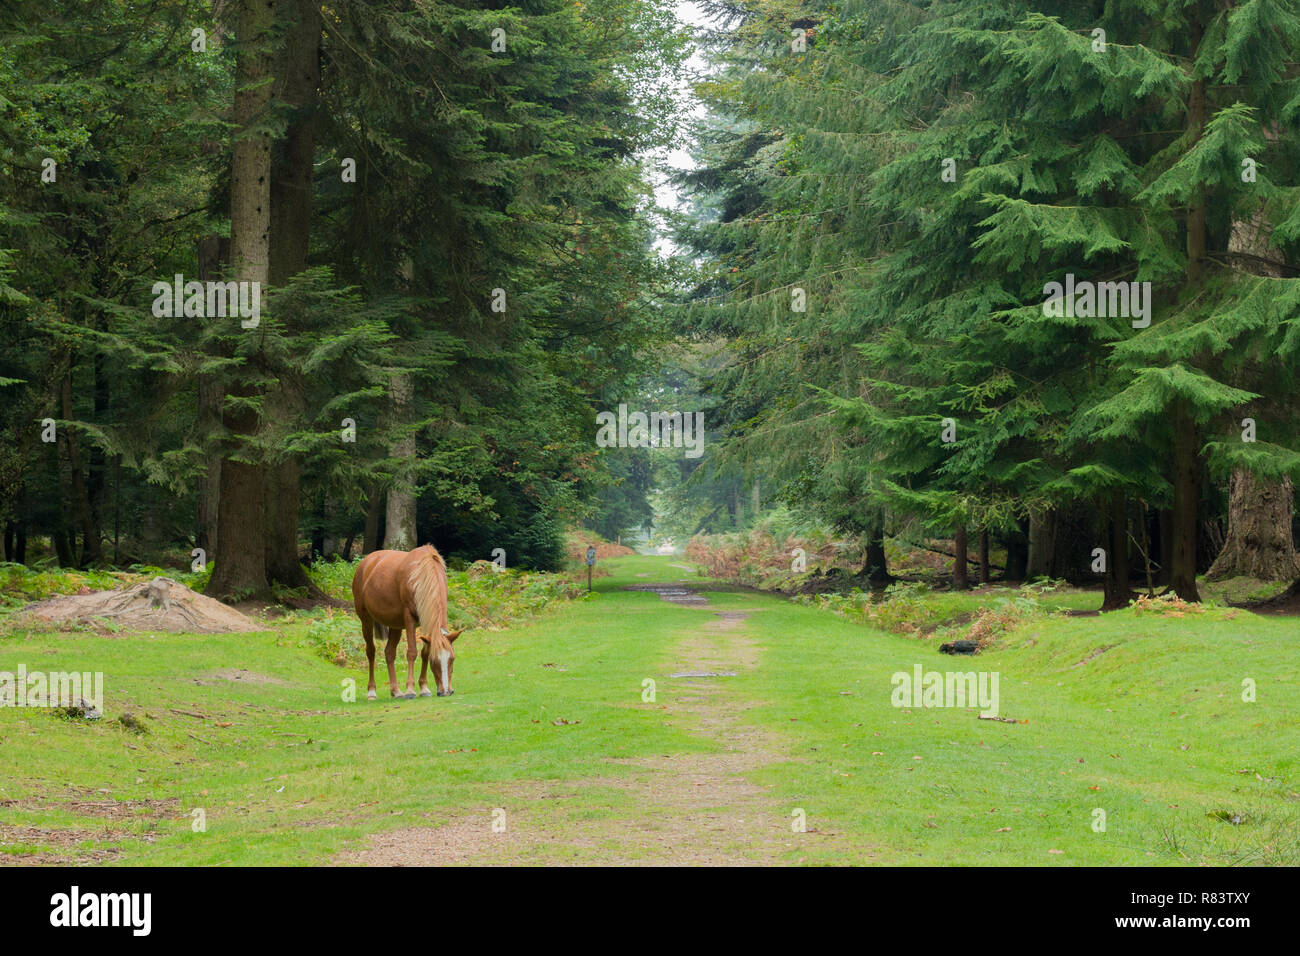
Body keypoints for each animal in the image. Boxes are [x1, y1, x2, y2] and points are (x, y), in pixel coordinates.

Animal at [351, 541, 462, 697]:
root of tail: (366, 562)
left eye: (452, 658)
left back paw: (396, 691)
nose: (446, 691)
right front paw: (410, 690)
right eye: (435, 660)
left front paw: (424, 688)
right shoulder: (409, 619)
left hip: (395, 625)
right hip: (366, 620)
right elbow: (412, 652)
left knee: (389, 653)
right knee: (371, 652)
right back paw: (372, 691)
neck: (423, 574)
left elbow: (424, 653)